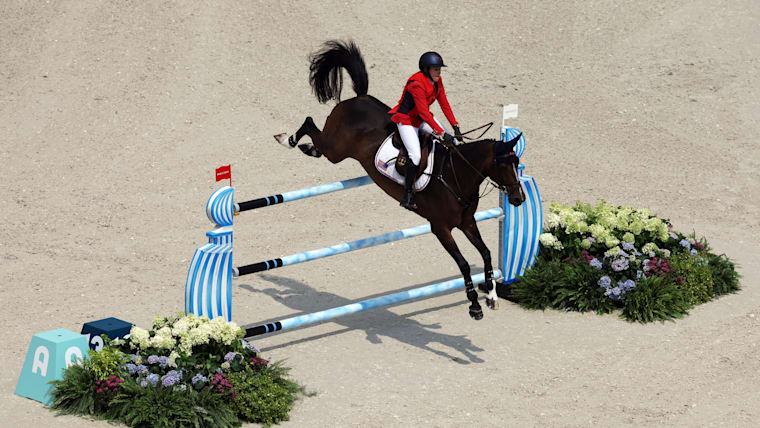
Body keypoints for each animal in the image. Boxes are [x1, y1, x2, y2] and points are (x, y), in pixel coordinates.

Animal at [274, 40, 528, 320]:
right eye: (503, 164)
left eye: (517, 162)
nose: (518, 199)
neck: (456, 176)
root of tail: (359, 97)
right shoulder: (440, 227)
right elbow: (462, 263)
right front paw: (474, 305)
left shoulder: (467, 222)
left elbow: (485, 253)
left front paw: (492, 294)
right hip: (336, 149)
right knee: (311, 125)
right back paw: (288, 140)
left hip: (335, 149)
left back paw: (304, 146)